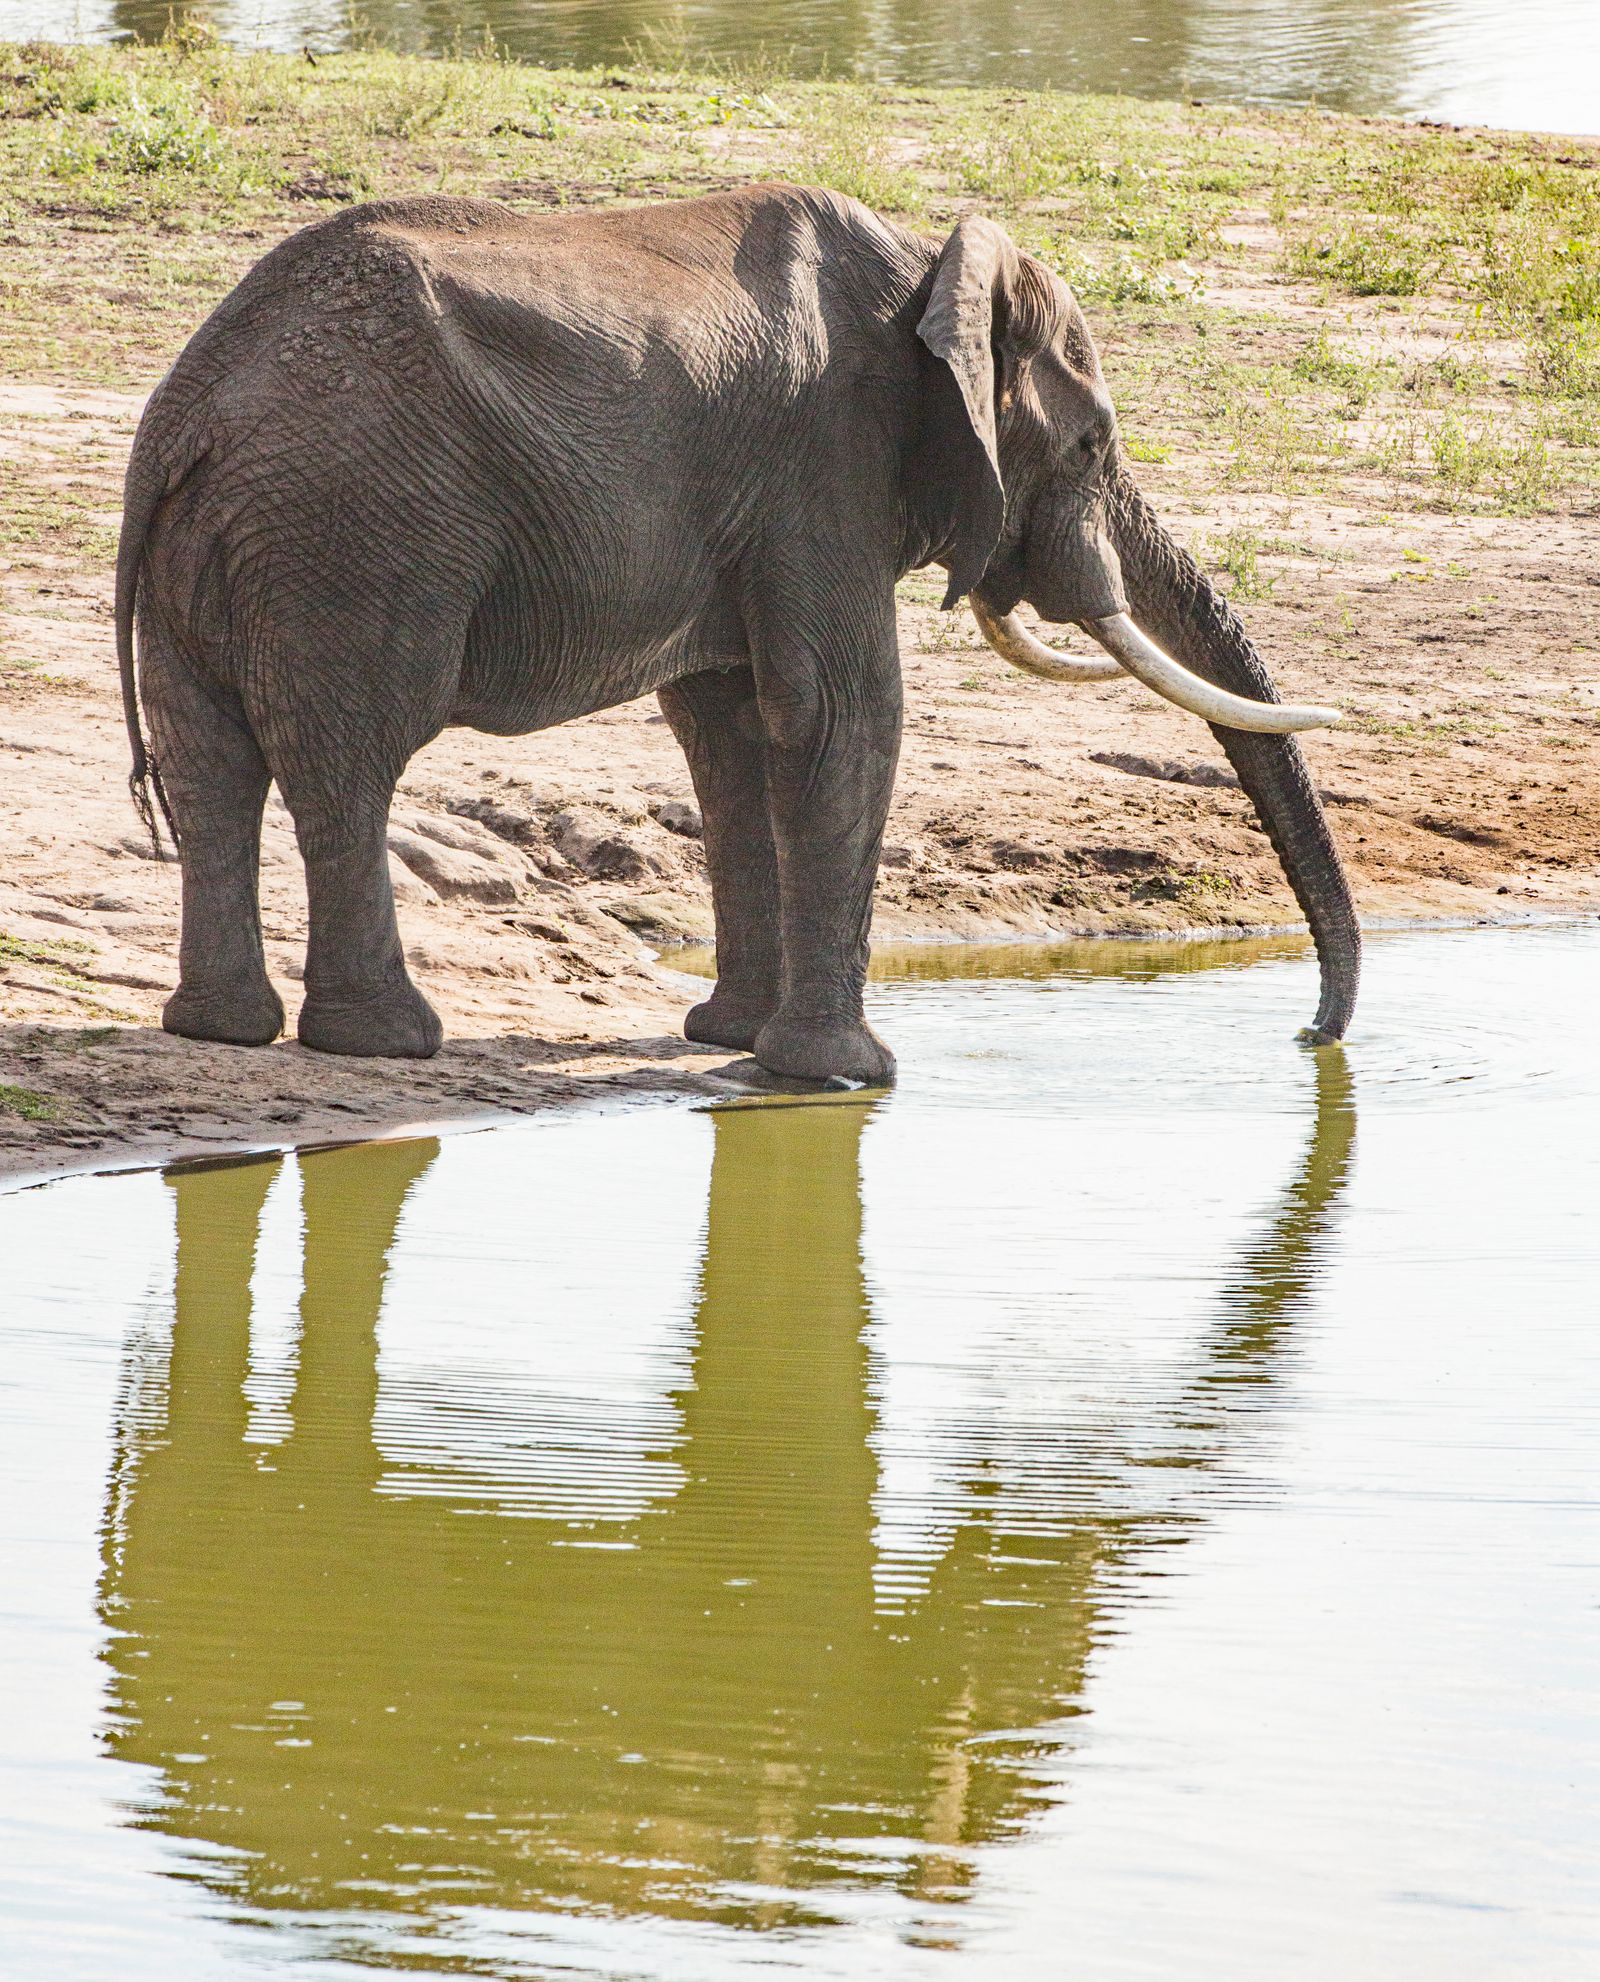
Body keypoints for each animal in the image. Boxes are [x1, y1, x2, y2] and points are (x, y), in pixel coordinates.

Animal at [115, 184, 1360, 1082]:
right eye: (1094, 443)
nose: (1312, 1035)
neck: (932, 270)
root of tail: (189, 408)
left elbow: (730, 727)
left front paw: (730, 1040)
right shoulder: (826, 467)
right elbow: (842, 717)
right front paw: (846, 1076)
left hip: (242, 546)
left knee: (211, 761)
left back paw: (223, 1030)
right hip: (357, 531)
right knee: (349, 756)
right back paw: (384, 1041)